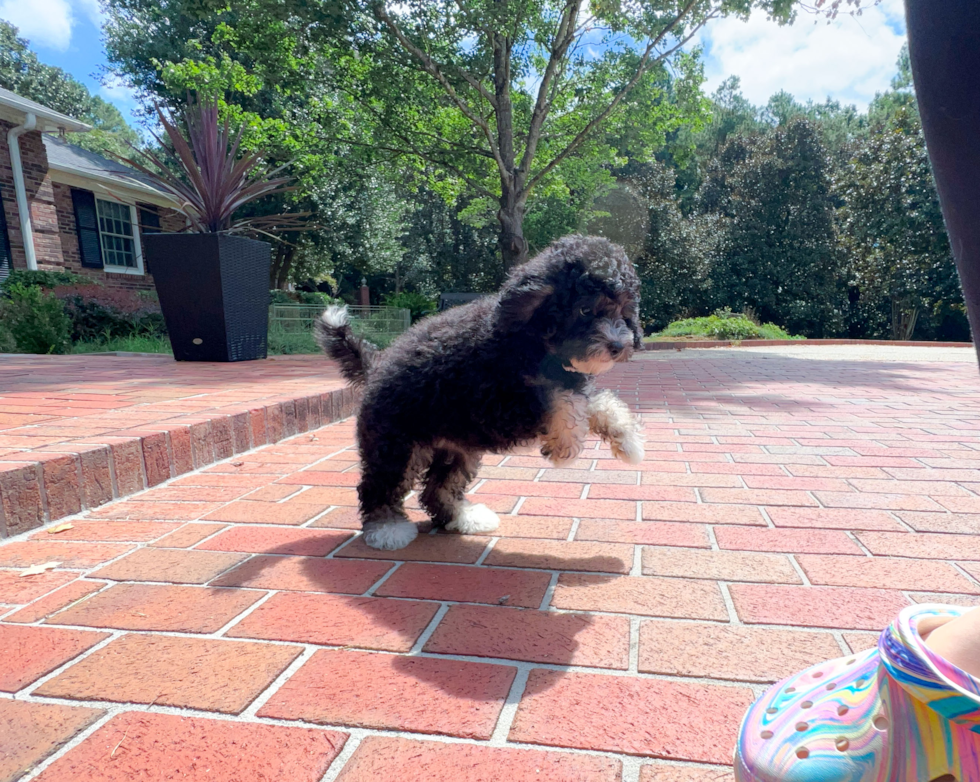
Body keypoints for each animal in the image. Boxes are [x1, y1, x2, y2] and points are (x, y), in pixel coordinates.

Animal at [318, 234, 648, 552]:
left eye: (624, 311)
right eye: (585, 309)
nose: (618, 346)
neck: (533, 341)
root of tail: (376, 367)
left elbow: (594, 402)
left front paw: (626, 439)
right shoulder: (499, 404)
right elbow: (564, 402)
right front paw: (564, 446)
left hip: (456, 449)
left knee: (439, 488)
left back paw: (464, 517)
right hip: (395, 442)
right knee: (380, 484)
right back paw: (386, 528)